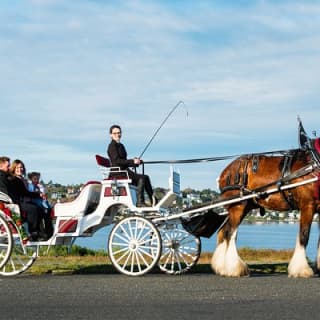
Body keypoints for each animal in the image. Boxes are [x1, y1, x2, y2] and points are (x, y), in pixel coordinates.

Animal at [210, 144, 320, 276]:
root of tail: (225, 172)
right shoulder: (307, 205)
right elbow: (304, 236)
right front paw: (301, 270)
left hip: (242, 207)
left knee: (223, 231)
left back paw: (222, 268)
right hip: (238, 207)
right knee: (230, 233)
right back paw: (234, 269)